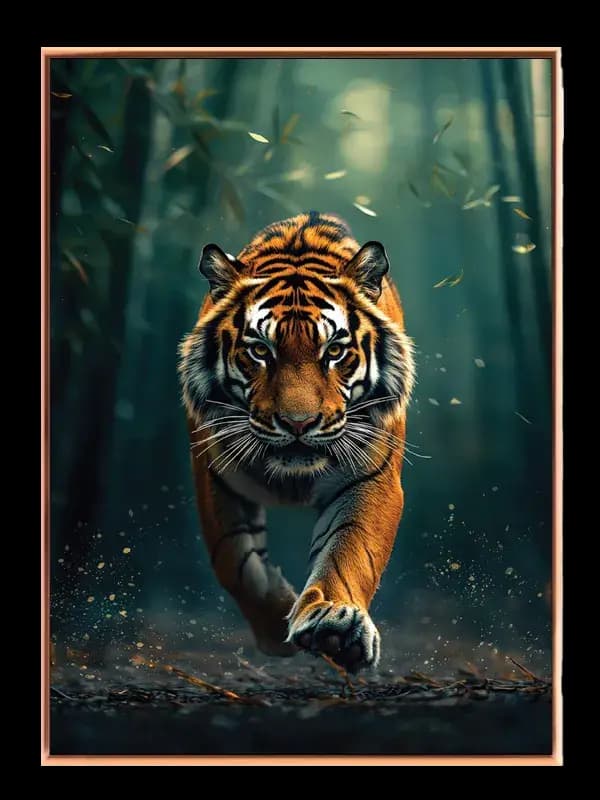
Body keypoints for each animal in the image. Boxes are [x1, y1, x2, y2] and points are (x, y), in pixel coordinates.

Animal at [179, 211, 415, 672]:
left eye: (335, 351)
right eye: (259, 351)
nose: (298, 423)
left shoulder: (371, 478)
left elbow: (349, 549)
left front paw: (334, 626)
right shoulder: (215, 477)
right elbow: (236, 562)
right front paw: (277, 627)